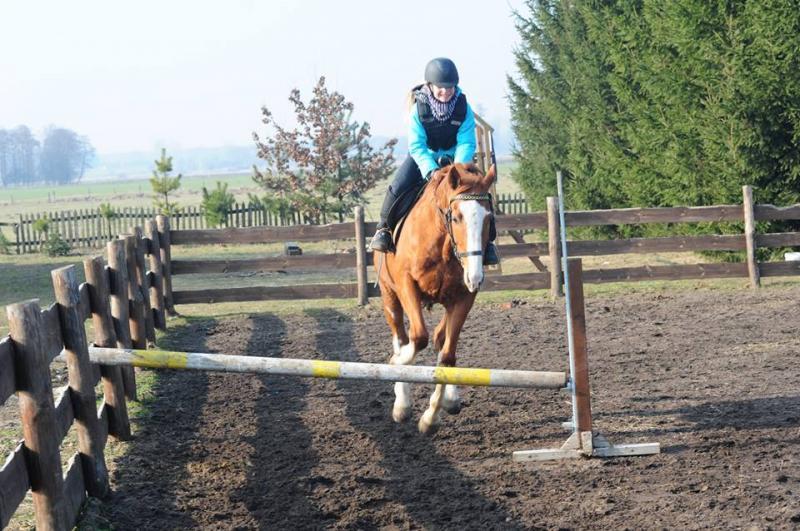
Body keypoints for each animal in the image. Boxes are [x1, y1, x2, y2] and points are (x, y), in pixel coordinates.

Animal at [376, 163, 494, 436]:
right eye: (456, 217)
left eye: (488, 218)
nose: (475, 276)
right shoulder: (407, 286)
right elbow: (418, 338)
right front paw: (396, 368)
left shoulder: (464, 298)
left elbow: (447, 357)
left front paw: (430, 418)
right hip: (390, 298)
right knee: (402, 337)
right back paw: (402, 401)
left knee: (441, 340)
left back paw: (450, 399)